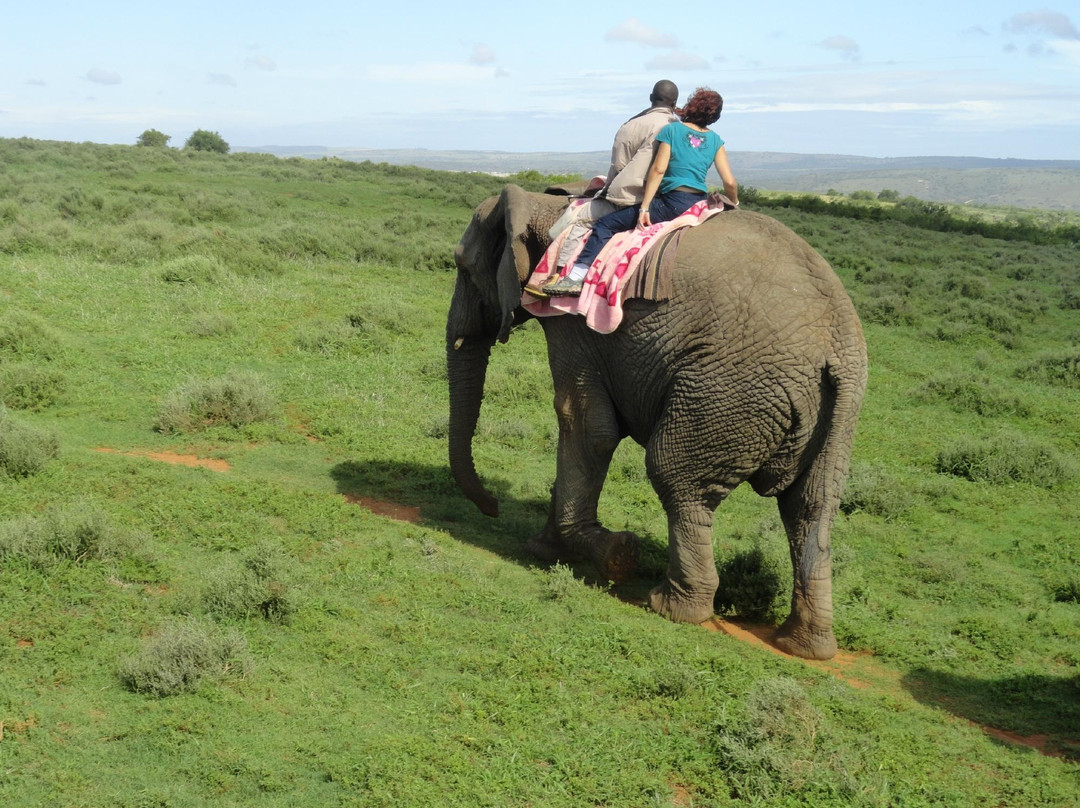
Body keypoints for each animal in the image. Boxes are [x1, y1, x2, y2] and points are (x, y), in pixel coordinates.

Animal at [446, 184, 867, 660]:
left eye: (463, 268)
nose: (493, 507)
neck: (550, 205)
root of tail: (837, 346)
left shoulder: (573, 323)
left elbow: (585, 425)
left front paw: (610, 554)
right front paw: (548, 547)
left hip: (725, 389)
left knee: (677, 477)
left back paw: (673, 607)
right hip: (839, 415)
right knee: (811, 508)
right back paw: (805, 646)